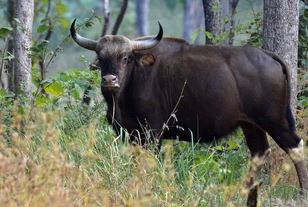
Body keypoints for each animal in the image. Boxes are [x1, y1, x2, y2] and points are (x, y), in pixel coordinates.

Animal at [70, 19, 308, 205]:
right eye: (101, 58)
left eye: (126, 57)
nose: (110, 80)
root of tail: (268, 55)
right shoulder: (131, 134)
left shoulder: (153, 132)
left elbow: (149, 165)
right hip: (251, 125)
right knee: (259, 155)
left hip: (275, 120)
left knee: (295, 147)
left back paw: (302, 193)